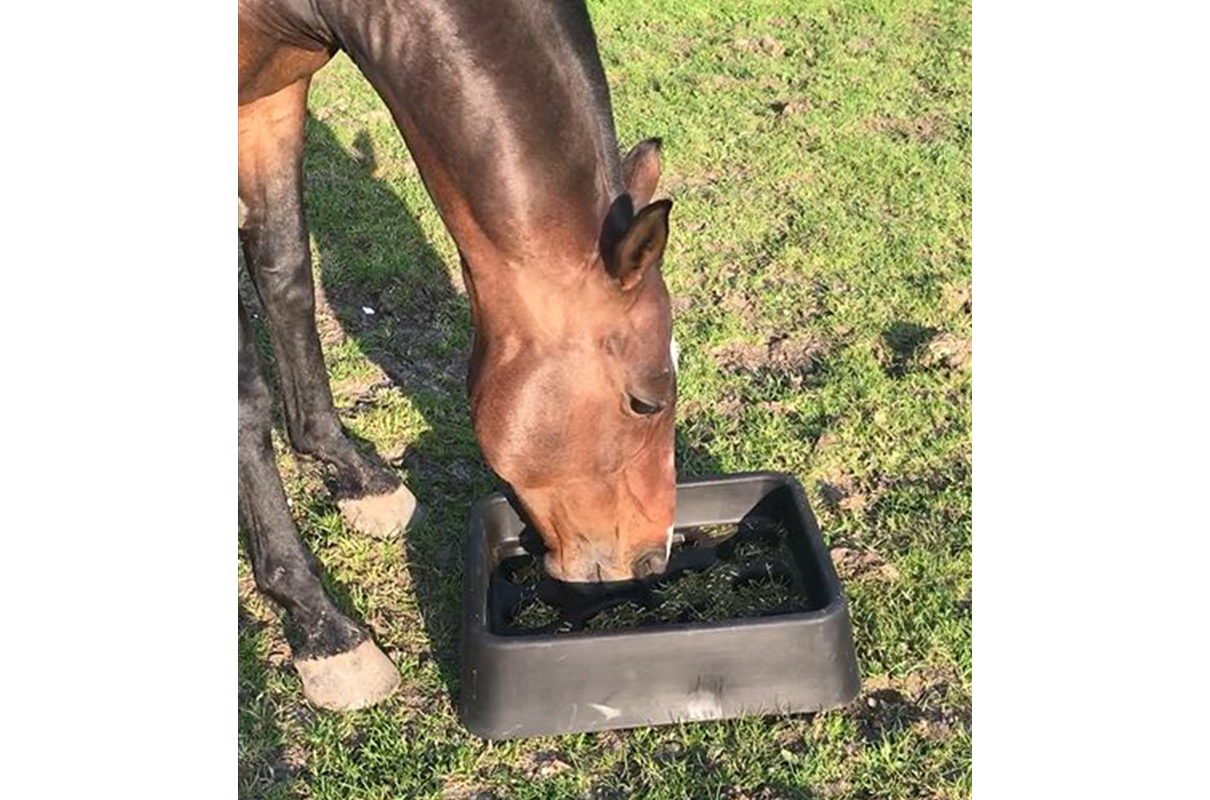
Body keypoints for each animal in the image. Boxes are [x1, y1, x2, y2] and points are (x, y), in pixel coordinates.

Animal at [238, 0, 679, 710]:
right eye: (644, 402)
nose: (652, 557)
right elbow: (244, 393)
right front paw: (320, 625)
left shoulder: (272, 97)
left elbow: (287, 278)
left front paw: (352, 473)